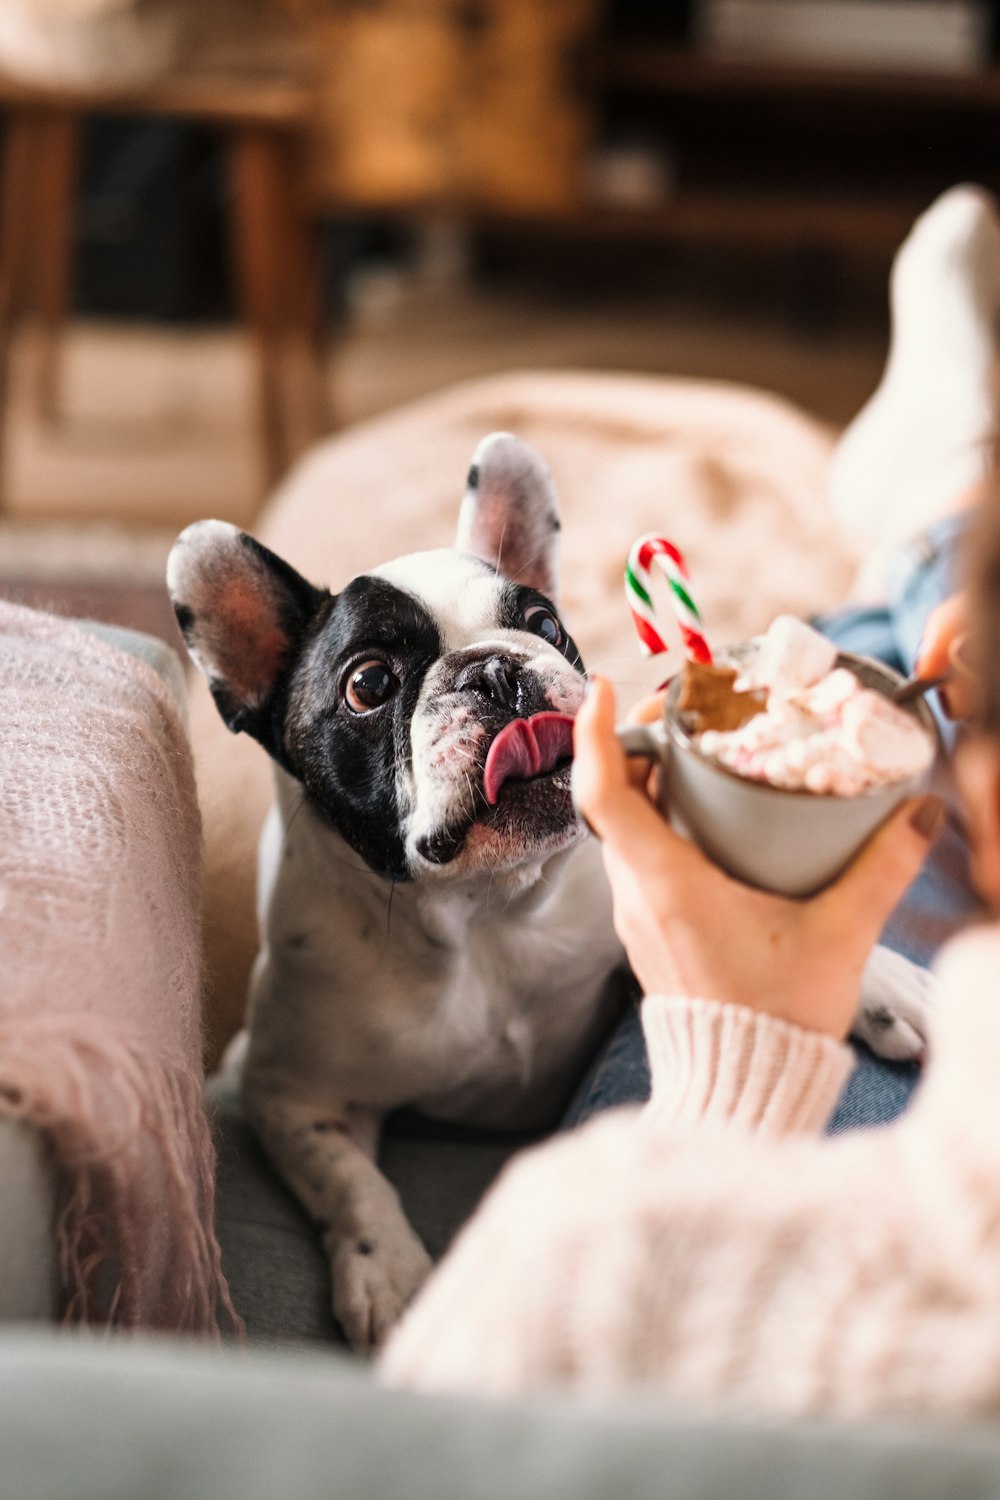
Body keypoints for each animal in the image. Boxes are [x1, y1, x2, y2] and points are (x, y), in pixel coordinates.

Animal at [166, 432, 941, 1350]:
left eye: (543, 625)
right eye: (369, 684)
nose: (496, 670)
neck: (485, 913)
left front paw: (882, 984)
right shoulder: (286, 1092)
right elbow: (348, 1180)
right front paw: (390, 1273)